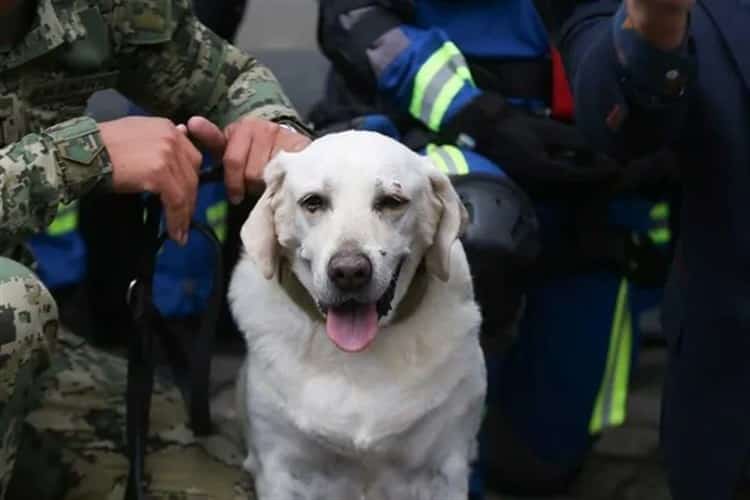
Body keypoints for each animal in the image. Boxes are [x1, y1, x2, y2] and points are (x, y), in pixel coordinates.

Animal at [229, 131, 488, 498]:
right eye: (313, 202)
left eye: (393, 201)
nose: (349, 272)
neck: (355, 359)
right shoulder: (283, 467)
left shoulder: (445, 467)